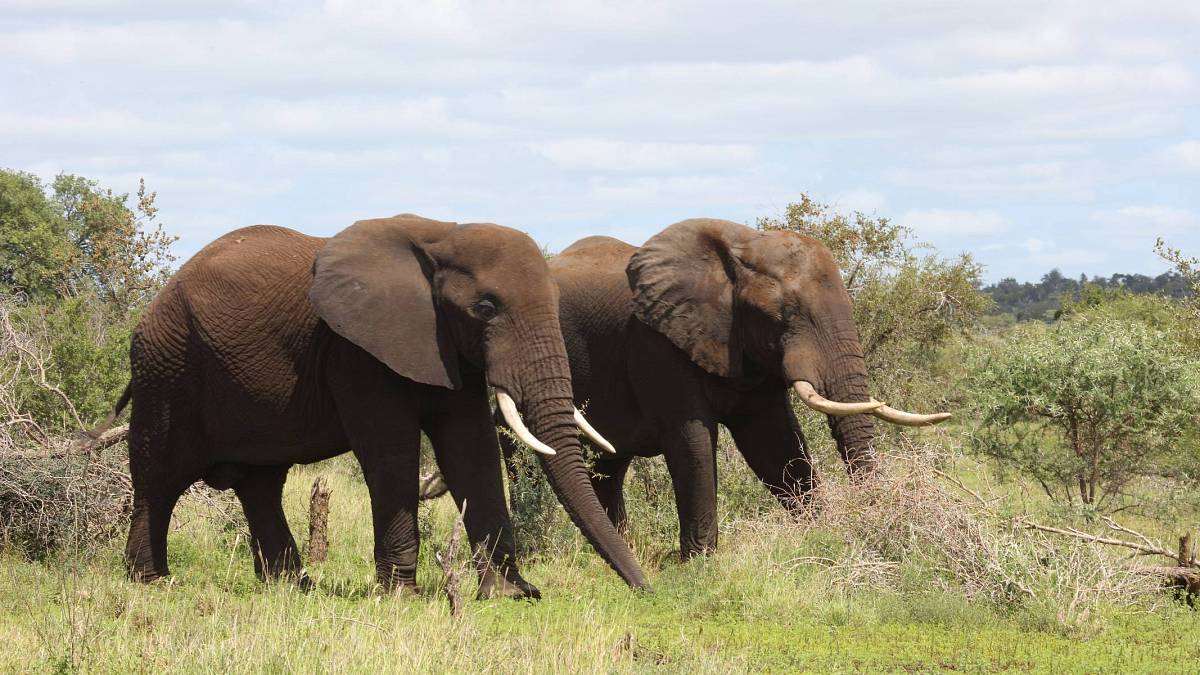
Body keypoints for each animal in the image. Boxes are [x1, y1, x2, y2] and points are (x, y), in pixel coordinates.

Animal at [96, 212, 648, 595]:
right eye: (486, 309)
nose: (646, 588)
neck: (440, 236)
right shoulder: (355, 353)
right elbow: (391, 451)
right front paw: (401, 596)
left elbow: (470, 449)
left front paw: (509, 594)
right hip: (166, 370)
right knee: (160, 476)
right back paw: (152, 582)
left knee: (260, 482)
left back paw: (293, 587)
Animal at [482, 219, 950, 557]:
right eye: (783, 314)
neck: (740, 247)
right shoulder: (657, 342)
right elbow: (691, 439)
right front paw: (700, 564)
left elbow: (775, 443)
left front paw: (821, 535)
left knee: (607, 465)